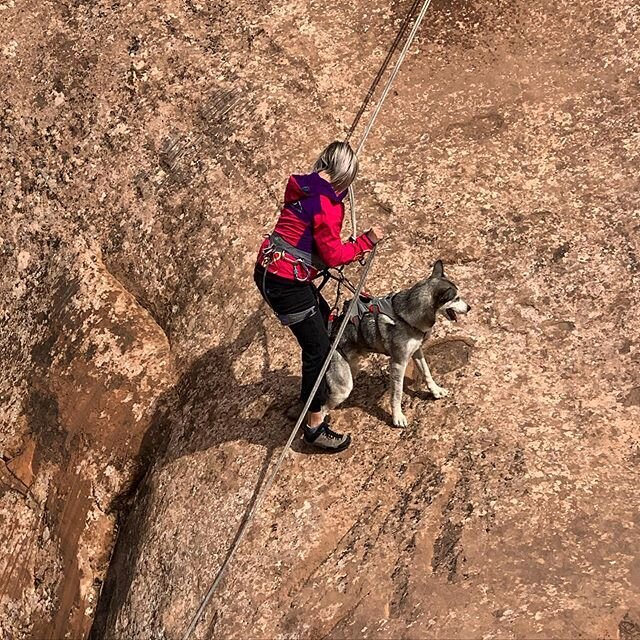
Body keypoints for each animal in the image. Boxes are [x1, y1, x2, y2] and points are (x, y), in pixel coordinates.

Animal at [324, 258, 470, 428]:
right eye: (456, 298)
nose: (469, 307)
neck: (406, 316)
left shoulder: (417, 351)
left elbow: (426, 371)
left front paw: (435, 390)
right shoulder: (398, 363)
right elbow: (397, 393)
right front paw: (397, 417)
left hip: (351, 371)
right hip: (343, 388)